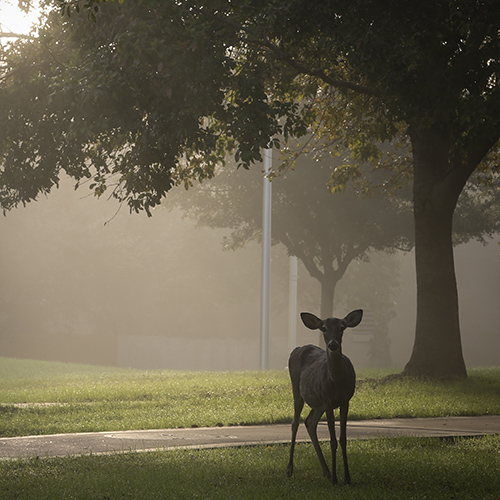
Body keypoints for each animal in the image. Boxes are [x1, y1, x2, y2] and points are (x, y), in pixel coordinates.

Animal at [286, 308, 364, 484]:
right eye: (323, 328)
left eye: (342, 327)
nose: (333, 345)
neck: (336, 381)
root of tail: (297, 348)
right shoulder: (328, 401)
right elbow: (333, 440)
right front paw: (336, 480)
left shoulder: (345, 400)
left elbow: (342, 439)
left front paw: (347, 478)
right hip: (298, 391)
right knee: (295, 423)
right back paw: (289, 469)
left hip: (317, 402)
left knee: (309, 422)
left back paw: (326, 471)